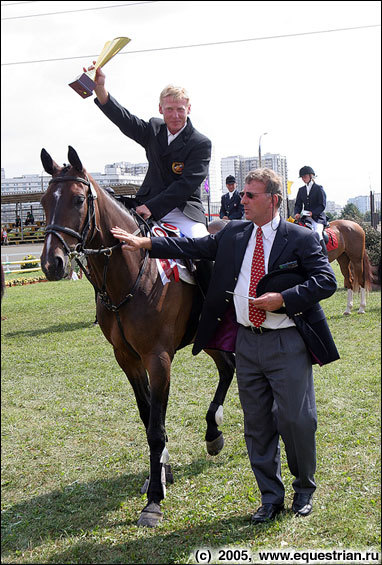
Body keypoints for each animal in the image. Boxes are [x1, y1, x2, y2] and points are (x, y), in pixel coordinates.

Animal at [39, 148, 236, 528]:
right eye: (43, 202)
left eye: (78, 199)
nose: (51, 263)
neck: (130, 272)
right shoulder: (127, 358)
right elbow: (149, 419)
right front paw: (161, 473)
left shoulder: (157, 359)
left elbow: (156, 427)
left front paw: (154, 499)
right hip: (208, 336)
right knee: (227, 366)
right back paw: (213, 434)